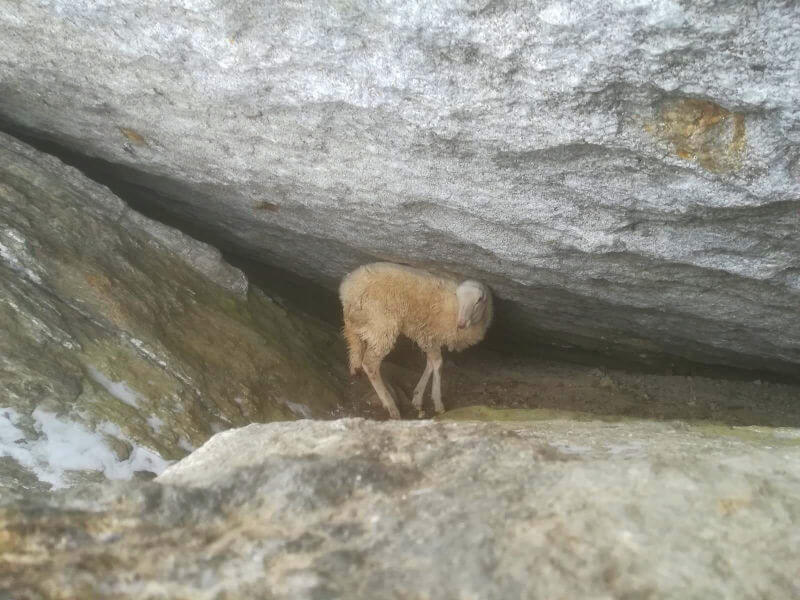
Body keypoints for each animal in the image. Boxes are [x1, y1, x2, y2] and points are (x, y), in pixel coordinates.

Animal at [339, 262, 493, 419]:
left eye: (479, 300)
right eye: (458, 296)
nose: (461, 324)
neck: (454, 309)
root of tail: (348, 287)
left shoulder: (427, 336)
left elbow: (430, 363)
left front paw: (418, 398)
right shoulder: (428, 334)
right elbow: (438, 364)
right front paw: (438, 403)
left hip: (356, 321)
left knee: (354, 342)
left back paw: (355, 369)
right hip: (382, 324)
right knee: (370, 364)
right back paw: (391, 406)